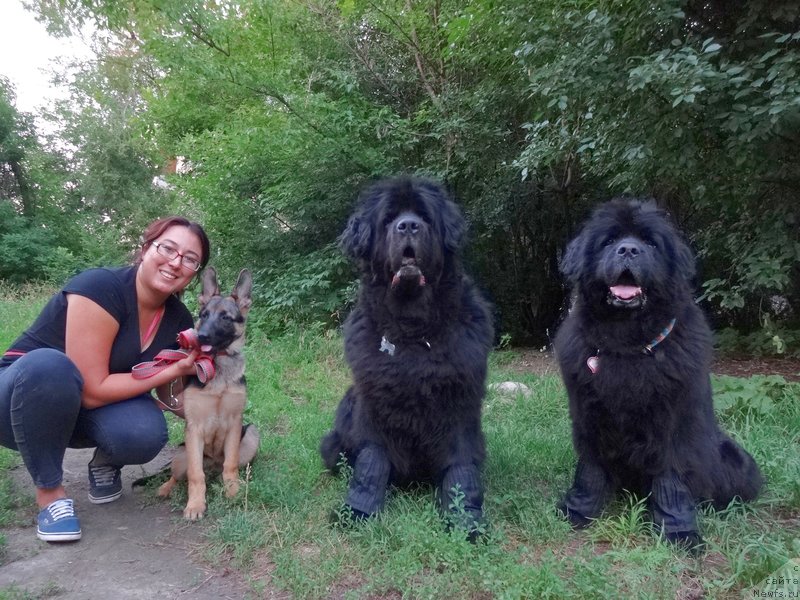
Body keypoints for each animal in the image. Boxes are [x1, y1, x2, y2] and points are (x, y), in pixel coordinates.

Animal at [155, 268, 256, 520]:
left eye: (225, 317)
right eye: (204, 314)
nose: (201, 336)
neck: (217, 368)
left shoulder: (234, 424)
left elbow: (230, 466)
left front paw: (233, 491)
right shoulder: (194, 428)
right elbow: (195, 475)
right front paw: (195, 505)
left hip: (251, 435)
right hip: (182, 454)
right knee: (180, 475)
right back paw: (166, 488)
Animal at [318, 175, 494, 536]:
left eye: (424, 217)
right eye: (388, 220)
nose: (408, 225)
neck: (413, 330)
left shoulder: (460, 407)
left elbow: (461, 470)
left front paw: (466, 519)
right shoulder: (375, 409)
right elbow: (371, 463)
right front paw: (358, 510)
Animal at [552, 199, 760, 552]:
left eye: (650, 243)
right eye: (609, 240)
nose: (628, 249)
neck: (627, 343)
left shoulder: (672, 422)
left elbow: (670, 478)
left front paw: (678, 530)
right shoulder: (588, 413)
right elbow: (590, 469)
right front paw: (578, 511)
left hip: (733, 457)